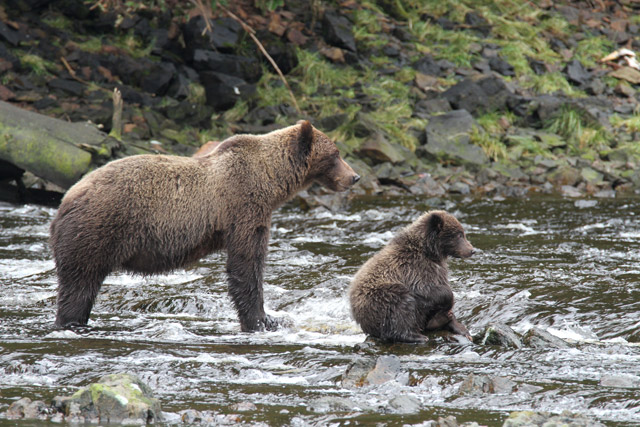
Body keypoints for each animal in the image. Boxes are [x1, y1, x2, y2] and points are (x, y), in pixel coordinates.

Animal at [50, 120, 360, 332]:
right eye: (336, 154)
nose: (354, 177)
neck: (270, 180)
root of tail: (66, 199)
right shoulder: (243, 205)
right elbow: (246, 262)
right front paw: (263, 319)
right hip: (98, 229)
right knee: (79, 284)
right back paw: (73, 320)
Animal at [348, 210, 474, 343]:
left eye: (462, 233)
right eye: (459, 235)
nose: (472, 250)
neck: (429, 252)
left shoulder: (438, 271)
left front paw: (462, 329)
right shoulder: (413, 268)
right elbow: (427, 289)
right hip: (380, 298)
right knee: (401, 308)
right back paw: (418, 336)